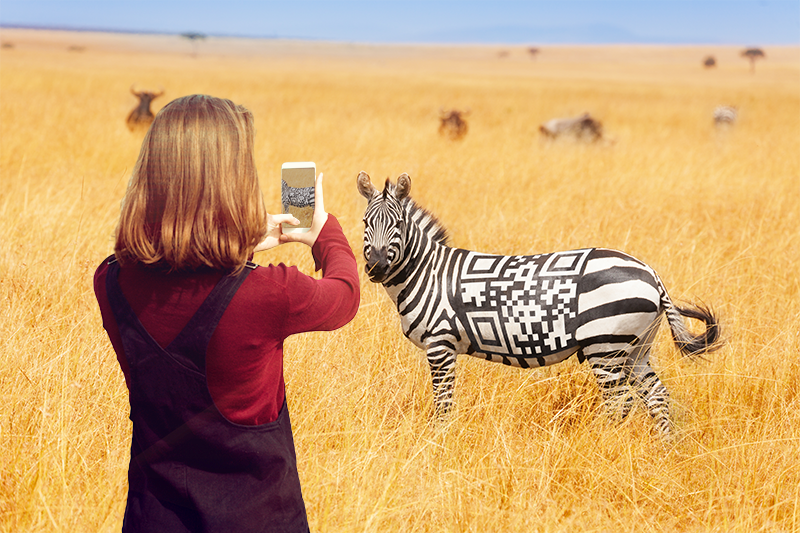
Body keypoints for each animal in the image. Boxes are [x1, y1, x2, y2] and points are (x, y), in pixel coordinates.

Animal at [357, 172, 721, 436]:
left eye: (398, 224)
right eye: (365, 224)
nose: (376, 267)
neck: (427, 272)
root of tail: (651, 274)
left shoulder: (440, 345)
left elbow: (443, 402)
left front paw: (439, 440)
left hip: (605, 346)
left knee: (619, 403)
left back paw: (604, 446)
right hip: (636, 348)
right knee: (656, 396)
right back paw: (665, 447)